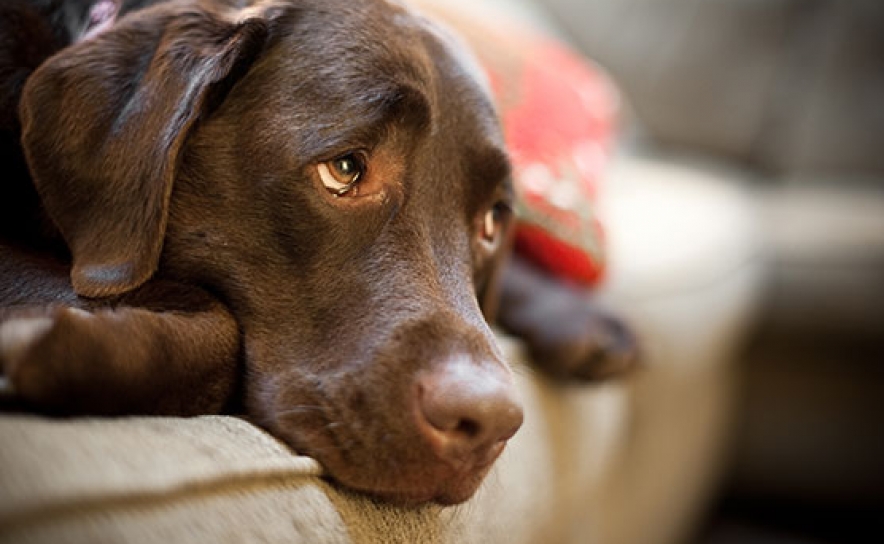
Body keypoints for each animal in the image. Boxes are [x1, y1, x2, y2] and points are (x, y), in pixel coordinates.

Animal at [0, 0, 636, 506]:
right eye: (345, 169)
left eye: (490, 221)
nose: (486, 422)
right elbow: (219, 336)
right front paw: (40, 344)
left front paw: (573, 314)